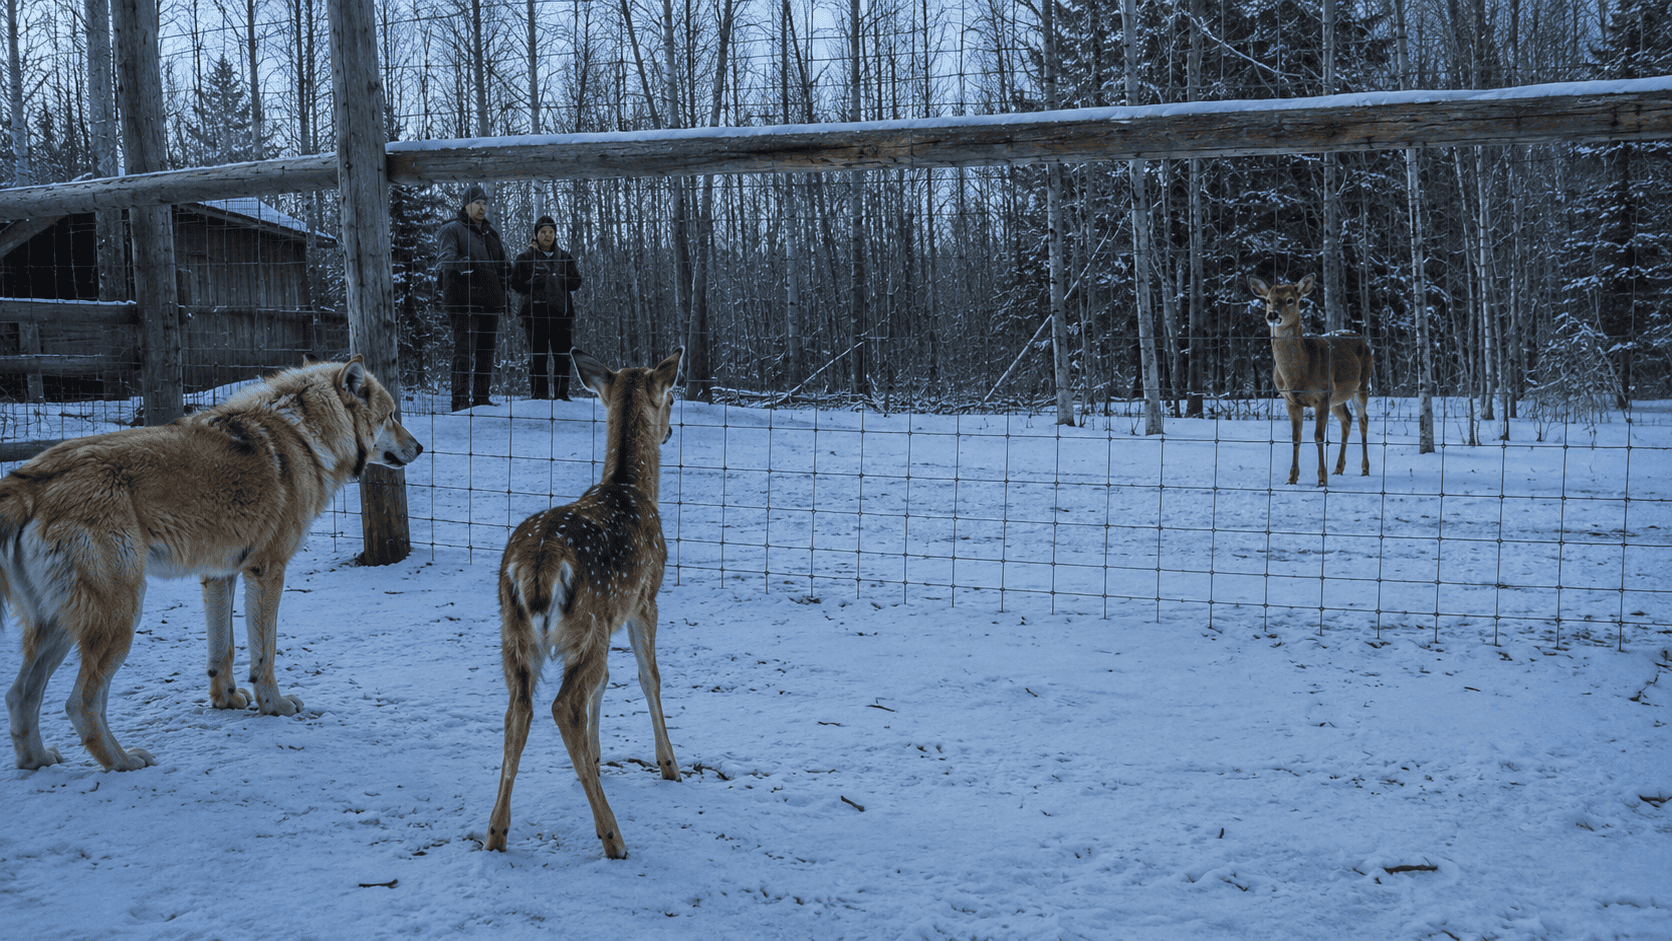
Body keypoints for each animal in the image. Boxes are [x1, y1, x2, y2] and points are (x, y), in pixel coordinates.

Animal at [486, 347, 684, 858]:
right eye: (671, 398)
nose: (670, 430)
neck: (633, 488)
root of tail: (539, 565)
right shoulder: (644, 599)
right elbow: (648, 677)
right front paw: (669, 764)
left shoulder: (611, 617)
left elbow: (608, 681)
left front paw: (596, 757)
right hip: (585, 622)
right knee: (563, 707)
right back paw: (613, 835)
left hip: (515, 634)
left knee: (517, 711)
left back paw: (495, 833)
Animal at [1248, 273, 1372, 487]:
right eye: (1268, 300)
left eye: (1290, 299)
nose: (1272, 315)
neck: (1300, 375)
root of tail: (1362, 338)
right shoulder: (1290, 400)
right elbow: (1295, 437)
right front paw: (1291, 478)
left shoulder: (1321, 396)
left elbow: (1319, 436)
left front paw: (1321, 479)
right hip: (1337, 397)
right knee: (1347, 419)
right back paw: (1338, 468)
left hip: (1362, 385)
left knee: (1363, 420)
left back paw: (1364, 469)